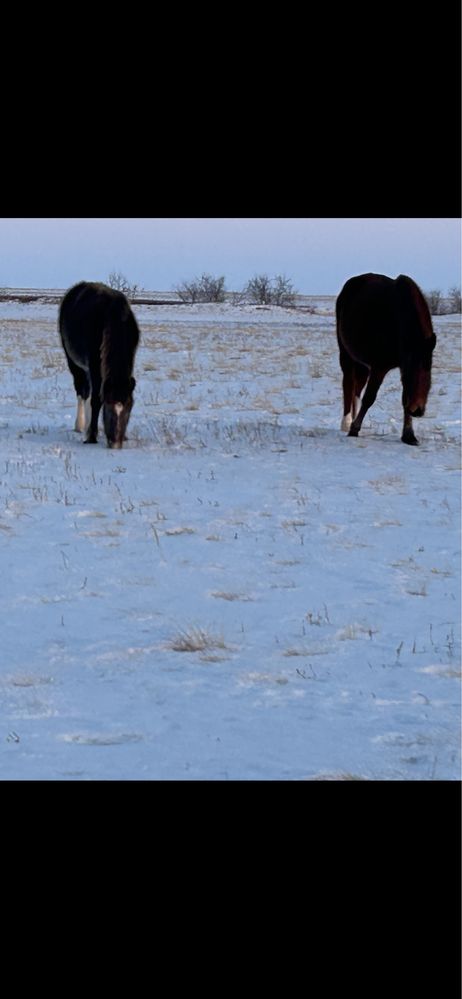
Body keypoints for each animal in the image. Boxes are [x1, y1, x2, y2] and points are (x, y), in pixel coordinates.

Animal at [58, 284, 140, 452]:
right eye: (108, 405)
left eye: (129, 407)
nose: (115, 444)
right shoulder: (94, 365)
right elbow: (95, 399)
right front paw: (91, 436)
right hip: (75, 363)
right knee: (82, 392)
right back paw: (81, 425)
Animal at [336, 274, 436, 446]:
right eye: (414, 367)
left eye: (429, 367)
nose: (417, 410)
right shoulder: (380, 366)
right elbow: (369, 397)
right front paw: (354, 429)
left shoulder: (400, 366)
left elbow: (405, 398)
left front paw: (409, 435)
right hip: (346, 353)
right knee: (348, 383)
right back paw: (347, 422)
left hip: (362, 364)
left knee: (357, 387)